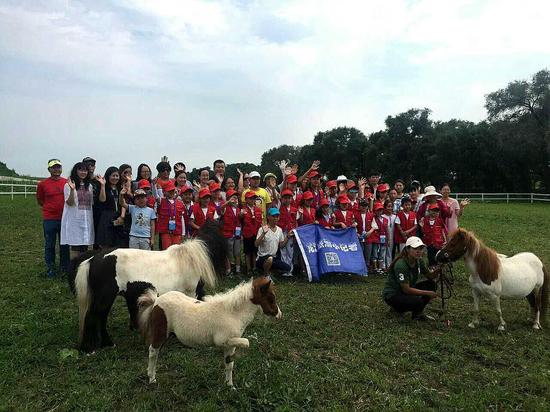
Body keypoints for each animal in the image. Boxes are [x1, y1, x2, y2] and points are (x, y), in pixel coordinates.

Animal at [68, 220, 227, 352]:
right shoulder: (191, 293)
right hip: (105, 298)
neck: (189, 259)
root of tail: (93, 259)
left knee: (101, 318)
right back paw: (88, 349)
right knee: (92, 317)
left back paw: (107, 343)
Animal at [137, 276, 282, 390]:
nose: (279, 315)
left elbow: (229, 364)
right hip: (160, 332)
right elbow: (247, 342)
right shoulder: (223, 341)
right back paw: (152, 378)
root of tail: (156, 301)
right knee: (153, 351)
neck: (233, 314)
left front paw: (230, 386)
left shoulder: (230, 346)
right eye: (271, 298)